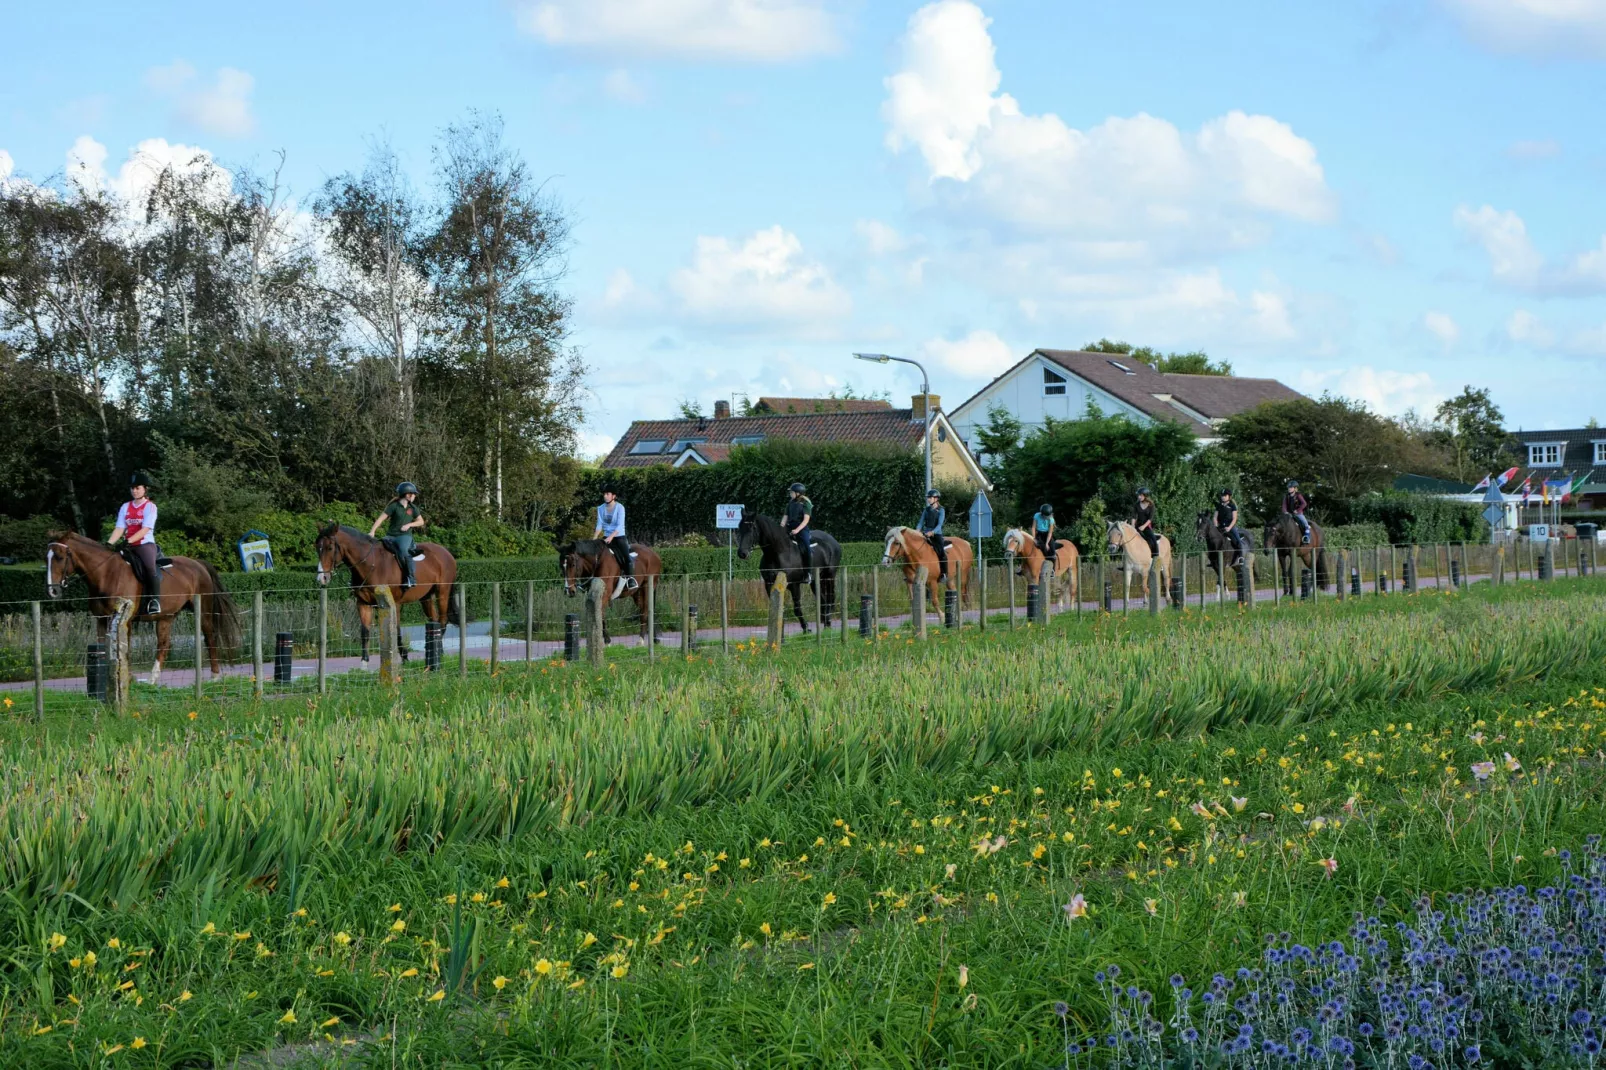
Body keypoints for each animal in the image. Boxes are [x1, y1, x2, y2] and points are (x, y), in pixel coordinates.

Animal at [45, 526, 239, 684]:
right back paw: (152, 679)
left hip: (203, 611)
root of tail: (198, 564)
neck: (106, 574)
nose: (52, 590)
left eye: (60, 557)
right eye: (46, 558)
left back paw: (214, 675)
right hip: (166, 617)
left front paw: (127, 678)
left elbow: (125, 649)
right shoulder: (101, 619)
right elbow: (103, 649)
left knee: (209, 637)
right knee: (164, 644)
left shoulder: (125, 621)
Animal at [316, 520, 459, 661]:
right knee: (434, 620)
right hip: (426, 597)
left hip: (443, 592)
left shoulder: (394, 604)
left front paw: (404, 656)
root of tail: (446, 552)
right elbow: (365, 631)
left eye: (330, 548)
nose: (321, 578)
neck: (371, 565)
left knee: (443, 620)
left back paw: (438, 653)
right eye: (317, 548)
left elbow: (395, 629)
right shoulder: (363, 603)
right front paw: (364, 661)